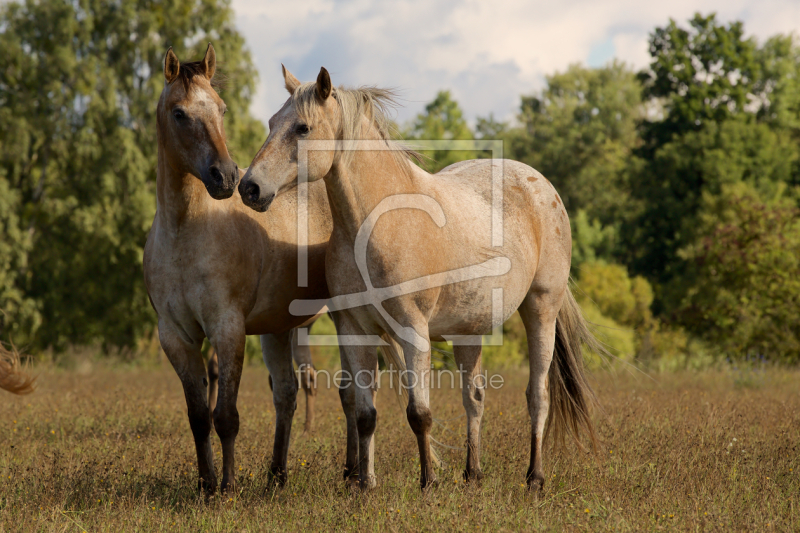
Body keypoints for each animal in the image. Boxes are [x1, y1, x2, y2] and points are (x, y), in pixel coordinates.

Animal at [144, 46, 332, 494]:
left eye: (222, 109)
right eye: (179, 113)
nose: (226, 176)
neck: (186, 232)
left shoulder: (227, 328)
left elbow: (226, 417)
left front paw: (227, 487)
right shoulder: (175, 337)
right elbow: (198, 417)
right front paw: (205, 484)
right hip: (281, 328)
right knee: (287, 393)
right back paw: (277, 475)